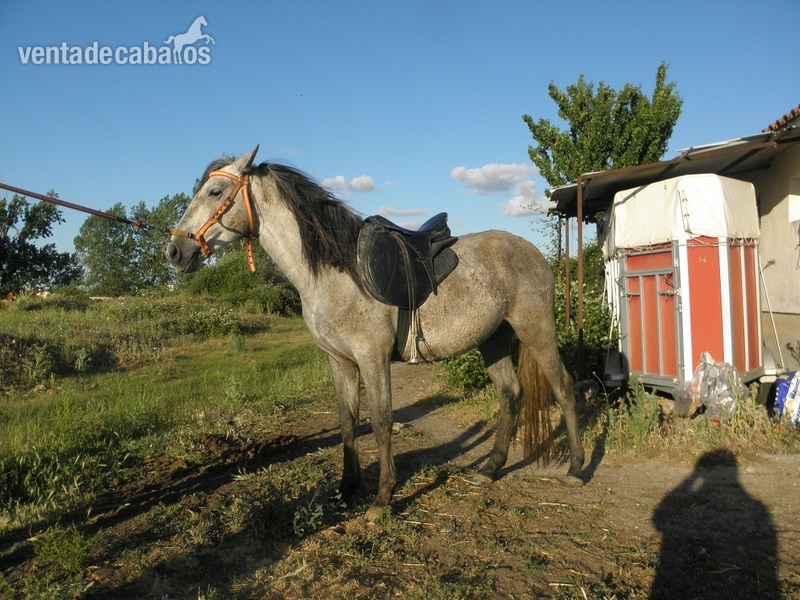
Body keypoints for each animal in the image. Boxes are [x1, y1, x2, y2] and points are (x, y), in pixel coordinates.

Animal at [165, 147, 585, 519]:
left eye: (215, 192)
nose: (175, 251)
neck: (333, 273)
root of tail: (534, 252)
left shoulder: (373, 358)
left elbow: (382, 423)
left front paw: (382, 498)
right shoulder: (340, 362)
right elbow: (348, 424)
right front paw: (345, 489)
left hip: (536, 329)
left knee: (563, 387)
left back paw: (576, 469)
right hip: (492, 340)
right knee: (510, 394)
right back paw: (489, 468)